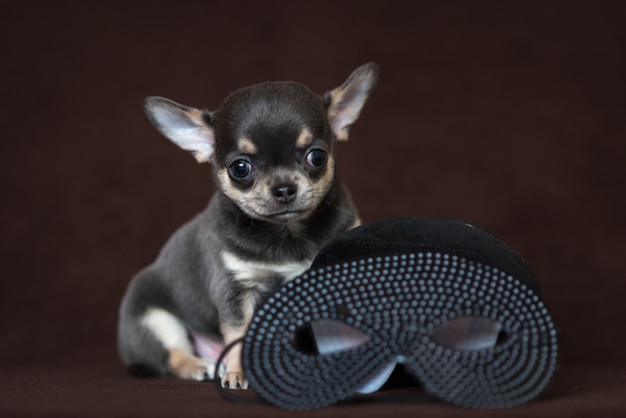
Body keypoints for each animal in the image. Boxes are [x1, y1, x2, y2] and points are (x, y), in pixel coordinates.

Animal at [119, 62, 378, 388]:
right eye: (240, 168)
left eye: (317, 157)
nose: (283, 188)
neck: (288, 233)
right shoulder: (236, 291)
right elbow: (240, 335)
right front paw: (238, 373)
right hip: (153, 318)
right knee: (172, 355)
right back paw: (201, 365)